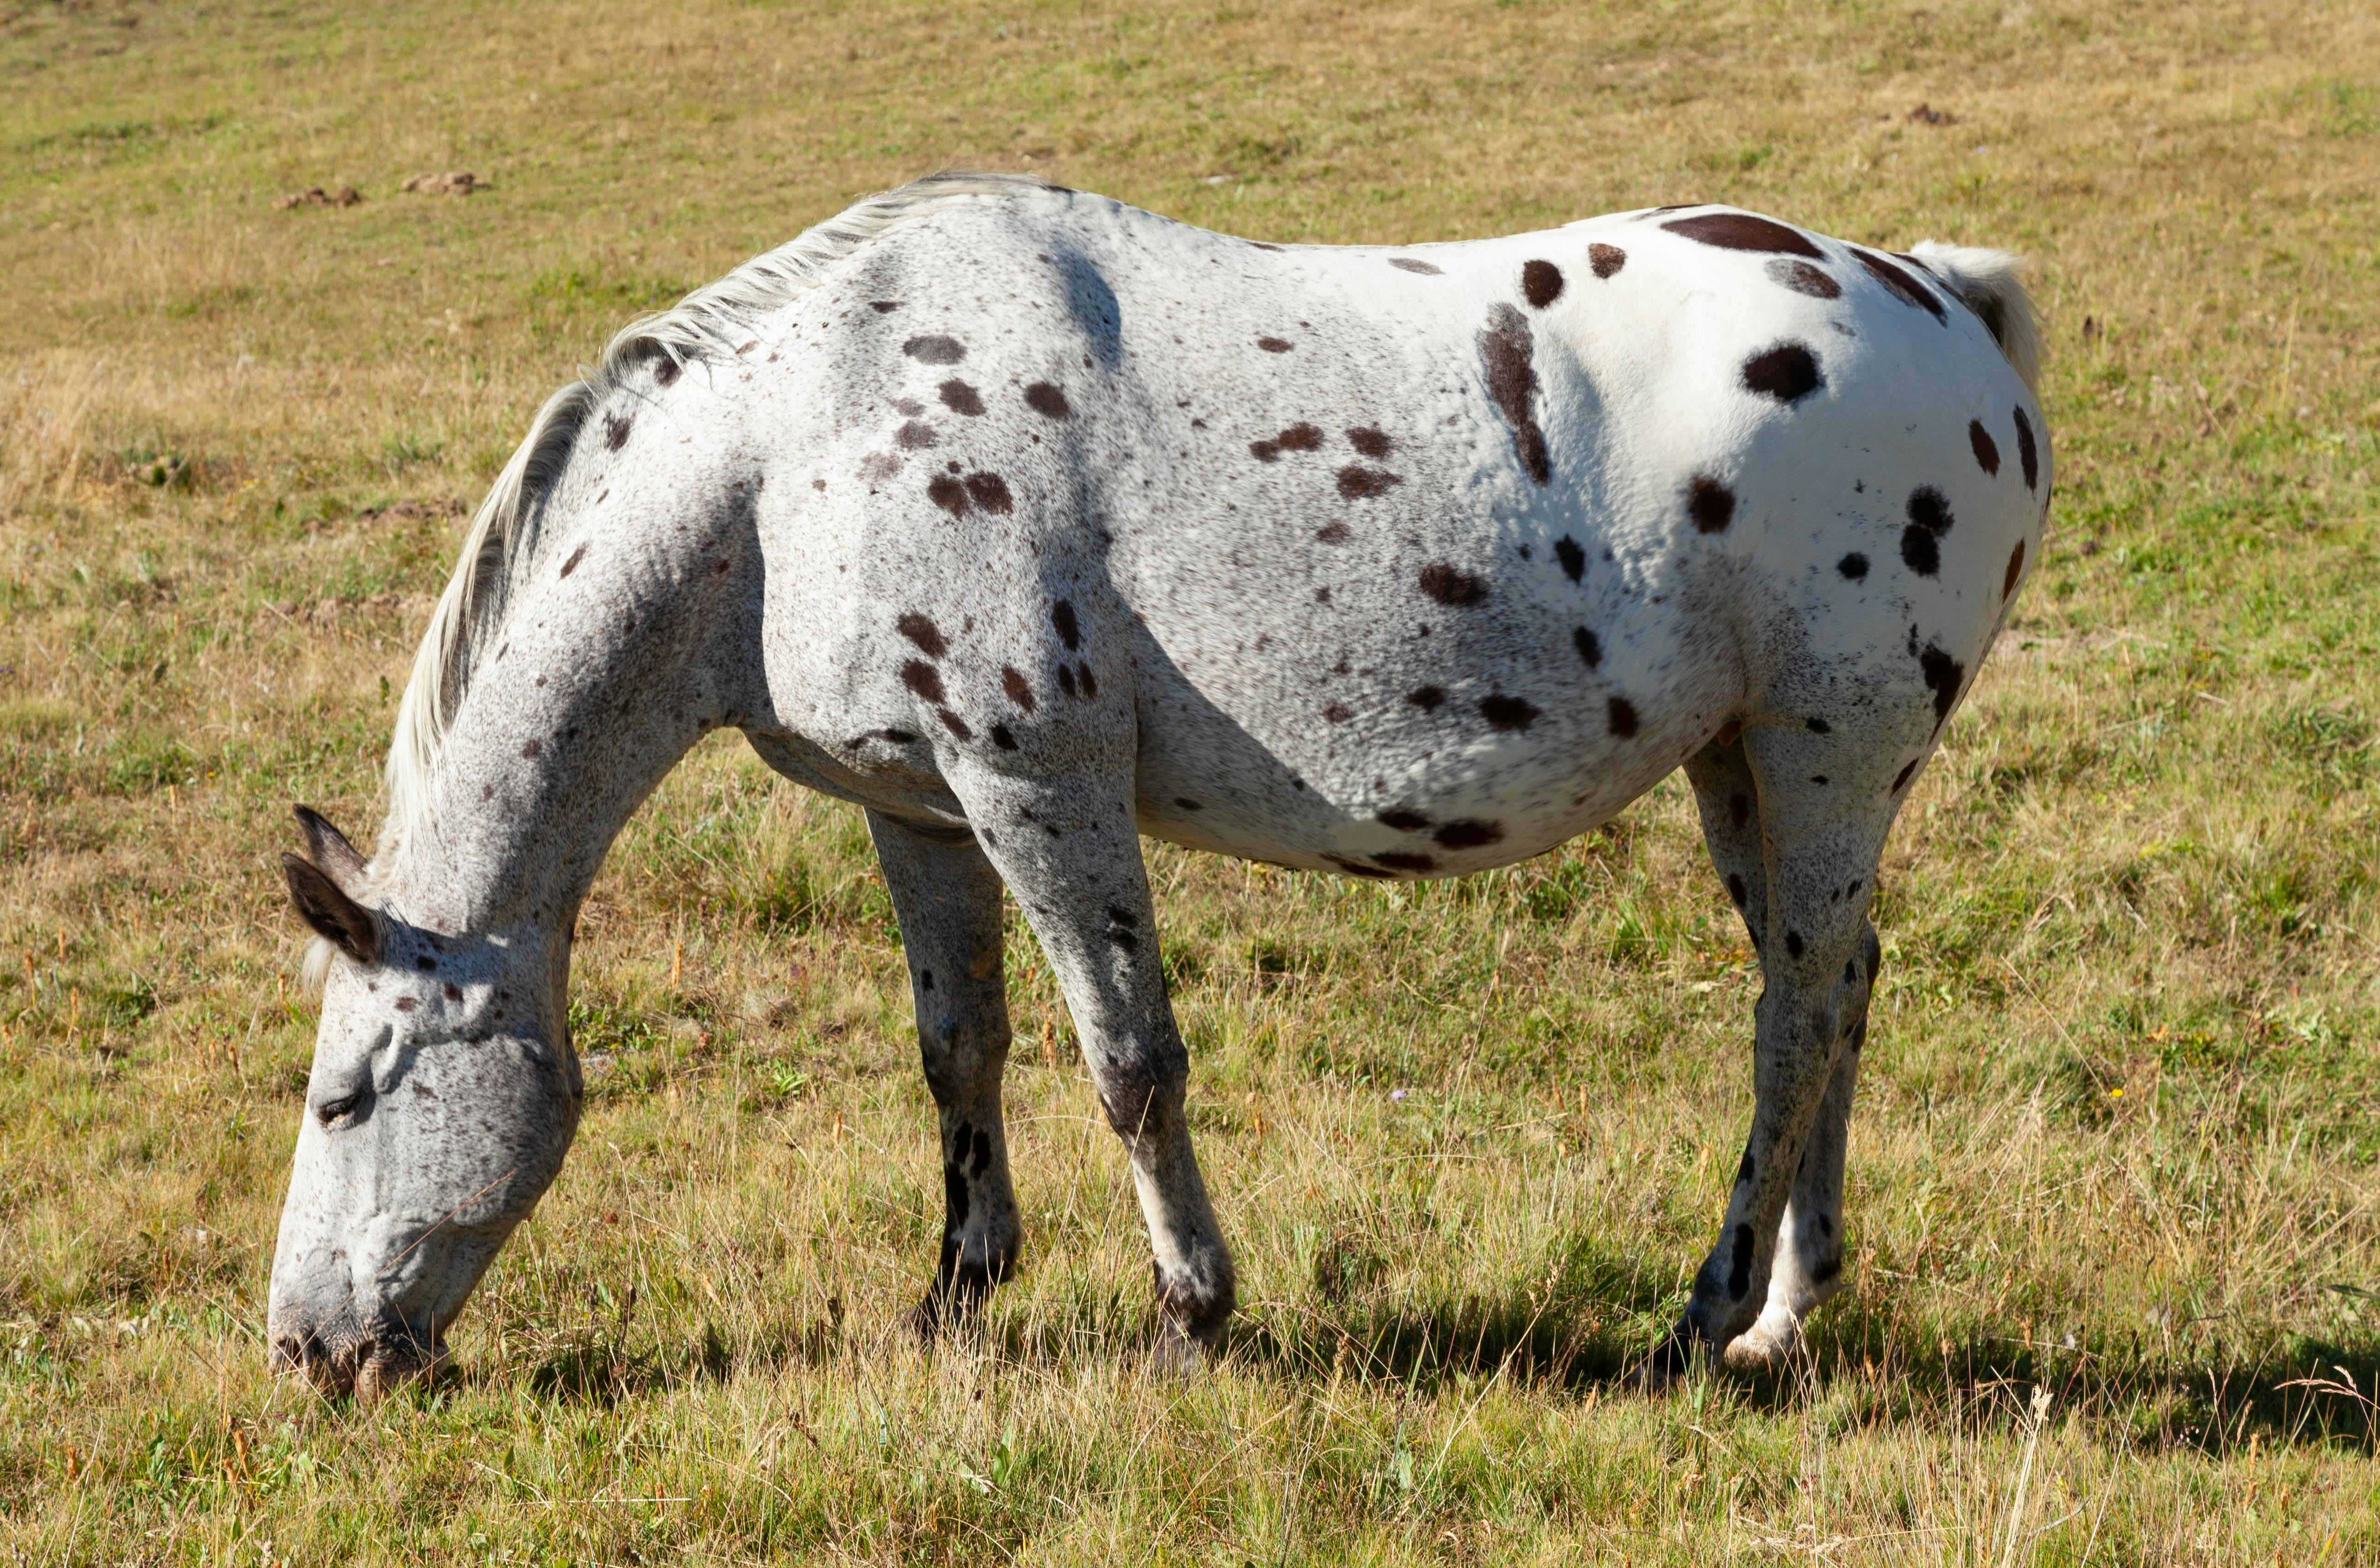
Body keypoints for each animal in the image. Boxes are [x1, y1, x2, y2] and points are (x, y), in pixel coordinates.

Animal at [266, 172, 2047, 1401]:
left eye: (344, 1097)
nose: (309, 1352)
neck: (794, 454)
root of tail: (1943, 300)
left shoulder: (1037, 785)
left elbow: (1127, 1059)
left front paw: (1194, 1307)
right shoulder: (918, 808)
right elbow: (959, 1047)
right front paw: (957, 1293)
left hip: (1826, 751)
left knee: (1792, 1019)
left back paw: (1712, 1311)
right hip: (1742, 766)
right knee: (1837, 994)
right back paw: (1786, 1315)